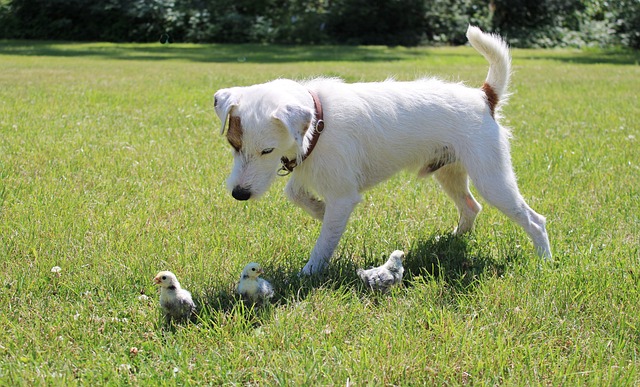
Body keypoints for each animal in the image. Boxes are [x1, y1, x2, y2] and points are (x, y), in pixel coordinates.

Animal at [214, 26, 552, 276]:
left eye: (267, 151)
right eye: (234, 144)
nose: (239, 194)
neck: (319, 120)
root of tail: (484, 97)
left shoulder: (342, 194)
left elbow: (323, 243)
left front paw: (309, 272)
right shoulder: (310, 169)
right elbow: (295, 193)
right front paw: (319, 210)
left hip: (492, 179)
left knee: (535, 220)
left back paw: (545, 262)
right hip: (449, 173)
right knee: (471, 207)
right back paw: (453, 240)